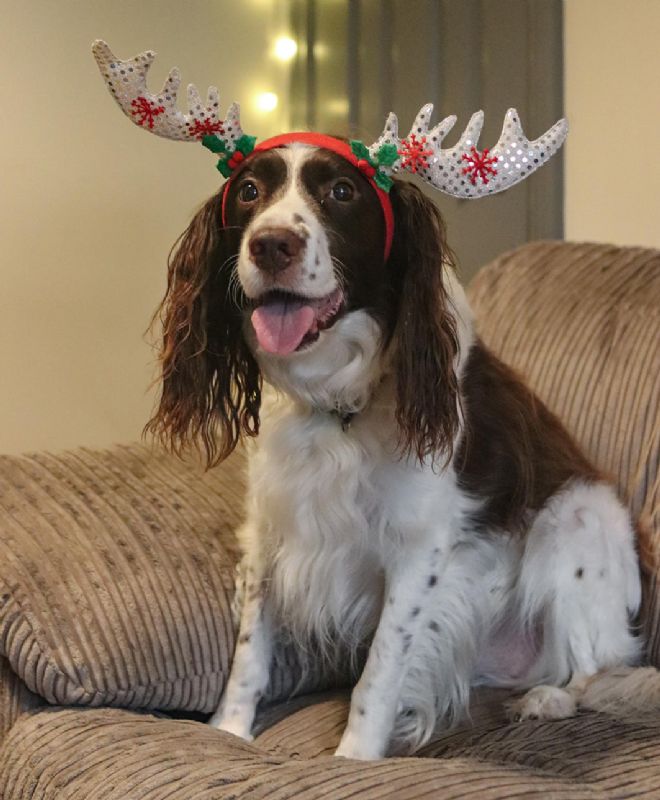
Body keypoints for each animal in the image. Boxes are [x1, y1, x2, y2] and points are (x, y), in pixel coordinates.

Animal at [141, 141, 648, 760]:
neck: (338, 405)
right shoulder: (271, 523)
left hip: (576, 518)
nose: (271, 244)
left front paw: (355, 758)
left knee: (599, 666)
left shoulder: (421, 551)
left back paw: (550, 699)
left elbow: (379, 672)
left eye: (342, 191)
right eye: (249, 190)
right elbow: (249, 654)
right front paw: (229, 731)